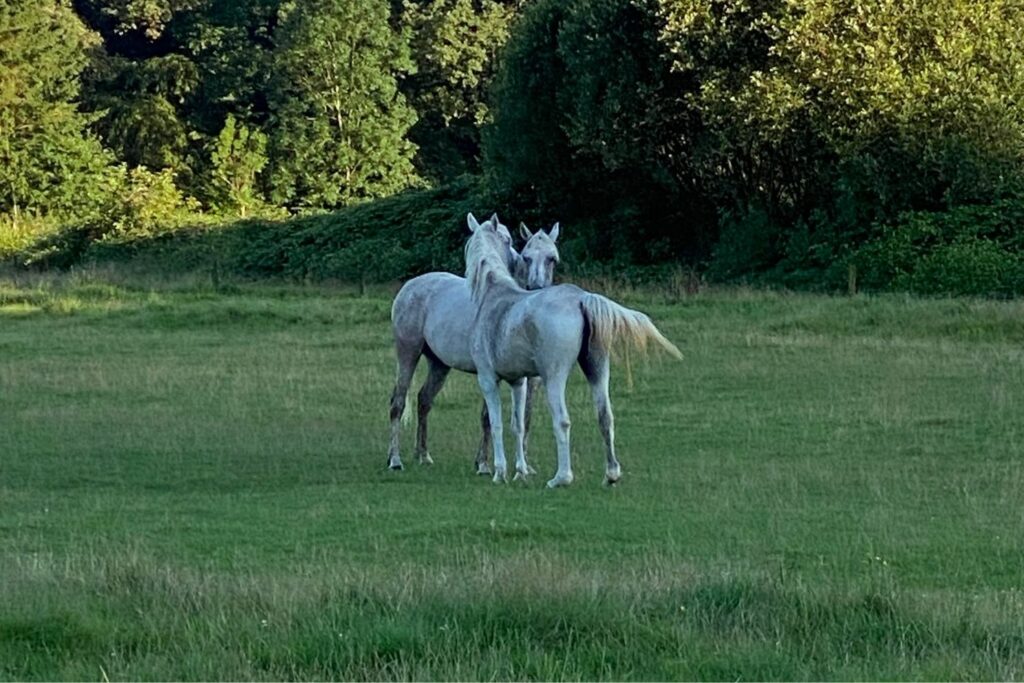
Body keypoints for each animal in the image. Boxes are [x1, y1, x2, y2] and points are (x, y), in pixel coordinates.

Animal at [386, 213, 562, 473]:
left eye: (552, 258)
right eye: (527, 257)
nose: (536, 288)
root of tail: (410, 286)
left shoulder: (533, 379)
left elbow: (525, 417)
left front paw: (525, 465)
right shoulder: (489, 373)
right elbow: (488, 417)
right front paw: (484, 464)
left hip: (439, 364)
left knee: (424, 400)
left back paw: (423, 455)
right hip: (408, 353)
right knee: (398, 402)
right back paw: (395, 459)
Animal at [464, 215, 681, 487]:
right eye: (525, 255)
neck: (493, 294)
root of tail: (581, 299)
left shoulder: (488, 380)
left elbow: (497, 424)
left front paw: (500, 473)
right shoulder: (518, 381)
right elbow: (518, 424)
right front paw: (520, 471)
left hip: (554, 377)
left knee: (562, 421)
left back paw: (561, 478)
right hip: (597, 370)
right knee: (605, 416)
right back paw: (611, 474)